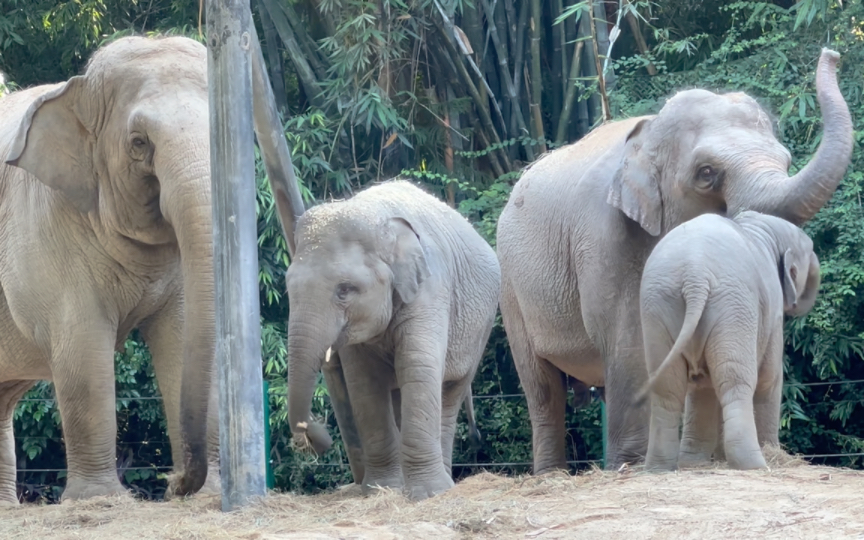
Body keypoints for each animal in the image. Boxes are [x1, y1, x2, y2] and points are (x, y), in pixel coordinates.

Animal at [0, 37, 226, 502]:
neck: (75, 90)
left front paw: (209, 491)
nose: (172, 484)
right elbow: (83, 346)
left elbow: (179, 338)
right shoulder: (44, 227)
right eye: (139, 142)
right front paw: (99, 498)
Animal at [284, 179, 500, 500]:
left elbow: (417, 366)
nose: (318, 440)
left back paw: (443, 484)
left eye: (344, 290)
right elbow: (363, 383)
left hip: (481, 328)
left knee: (450, 393)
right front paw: (381, 490)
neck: (373, 215)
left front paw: (426, 494)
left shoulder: (430, 288)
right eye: (288, 288)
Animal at [636, 209, 820, 470]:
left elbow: (701, 384)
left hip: (656, 307)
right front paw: (773, 455)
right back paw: (756, 465)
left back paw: (661, 468)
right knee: (736, 381)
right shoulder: (773, 311)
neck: (758, 227)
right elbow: (770, 378)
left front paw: (695, 463)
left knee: (668, 388)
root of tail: (694, 276)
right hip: (734, 307)